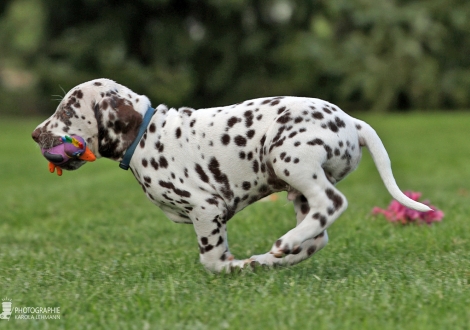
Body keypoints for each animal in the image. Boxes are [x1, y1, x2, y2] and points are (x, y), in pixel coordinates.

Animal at [31, 78, 432, 272]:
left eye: (66, 110)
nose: (35, 135)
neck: (145, 134)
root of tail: (352, 121)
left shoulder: (205, 208)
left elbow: (210, 259)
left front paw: (230, 267)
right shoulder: (212, 215)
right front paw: (243, 264)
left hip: (290, 158)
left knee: (332, 203)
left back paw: (284, 244)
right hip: (297, 188)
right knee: (318, 236)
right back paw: (274, 258)